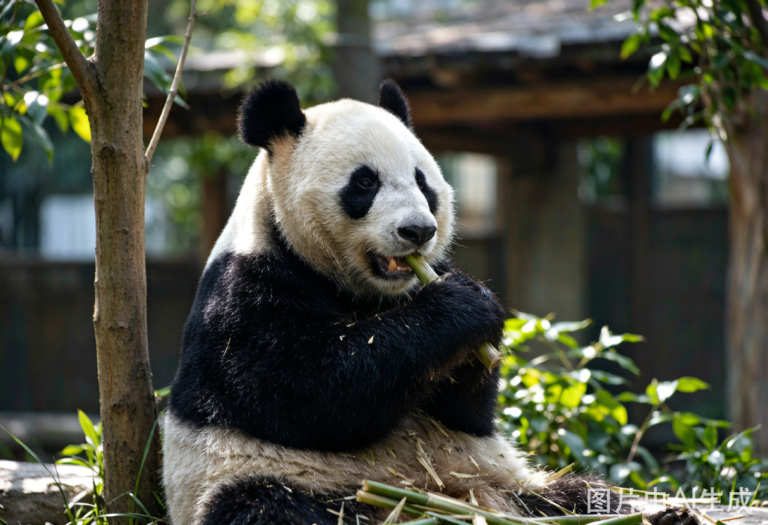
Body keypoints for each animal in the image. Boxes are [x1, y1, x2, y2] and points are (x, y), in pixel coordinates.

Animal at [162, 79, 621, 525]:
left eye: (422, 182)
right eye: (365, 182)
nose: (418, 231)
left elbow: (464, 415)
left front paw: (483, 320)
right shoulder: (244, 295)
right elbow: (311, 390)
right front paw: (461, 308)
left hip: (508, 479)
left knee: (584, 497)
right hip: (272, 478)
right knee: (267, 506)